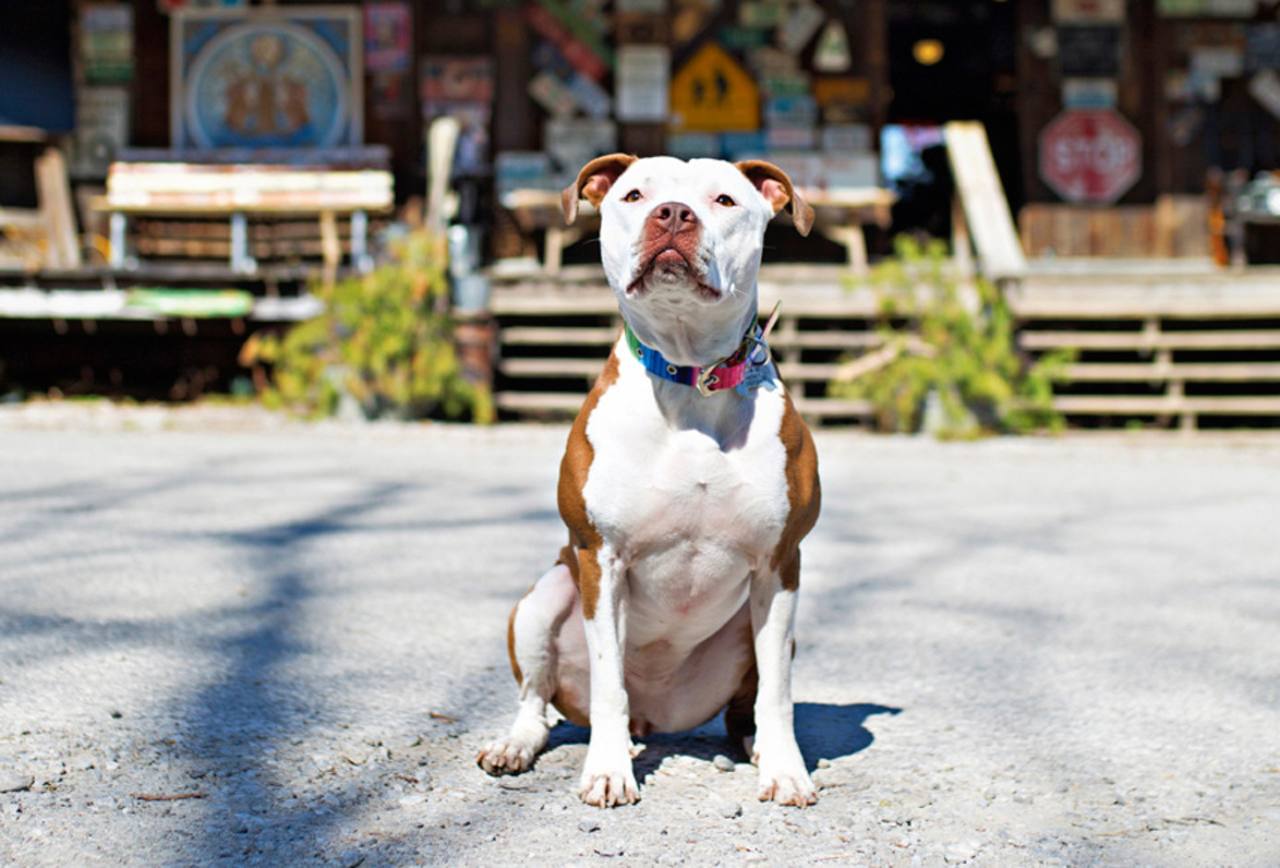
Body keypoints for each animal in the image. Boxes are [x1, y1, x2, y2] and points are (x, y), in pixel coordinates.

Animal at [478, 154, 819, 809]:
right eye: (635, 195)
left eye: (724, 200)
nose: (674, 214)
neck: (690, 377)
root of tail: (657, 717)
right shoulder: (601, 558)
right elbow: (609, 677)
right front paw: (608, 771)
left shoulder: (779, 563)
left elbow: (779, 693)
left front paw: (786, 771)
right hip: (543, 598)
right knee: (538, 700)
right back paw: (516, 745)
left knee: (746, 706)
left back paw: (756, 747)